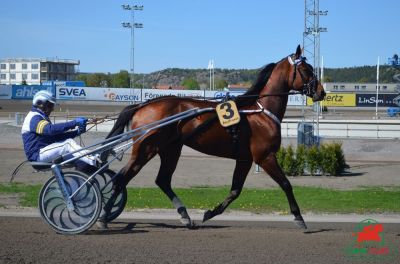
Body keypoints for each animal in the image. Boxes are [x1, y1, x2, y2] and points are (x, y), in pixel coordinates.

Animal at [99, 44, 324, 229]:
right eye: (306, 70)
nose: (321, 92)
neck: (260, 112)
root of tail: (142, 105)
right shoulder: (264, 156)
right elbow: (286, 184)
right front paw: (299, 217)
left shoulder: (245, 159)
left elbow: (235, 190)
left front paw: (209, 213)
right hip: (146, 148)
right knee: (123, 177)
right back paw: (103, 217)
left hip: (170, 149)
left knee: (162, 180)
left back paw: (185, 216)